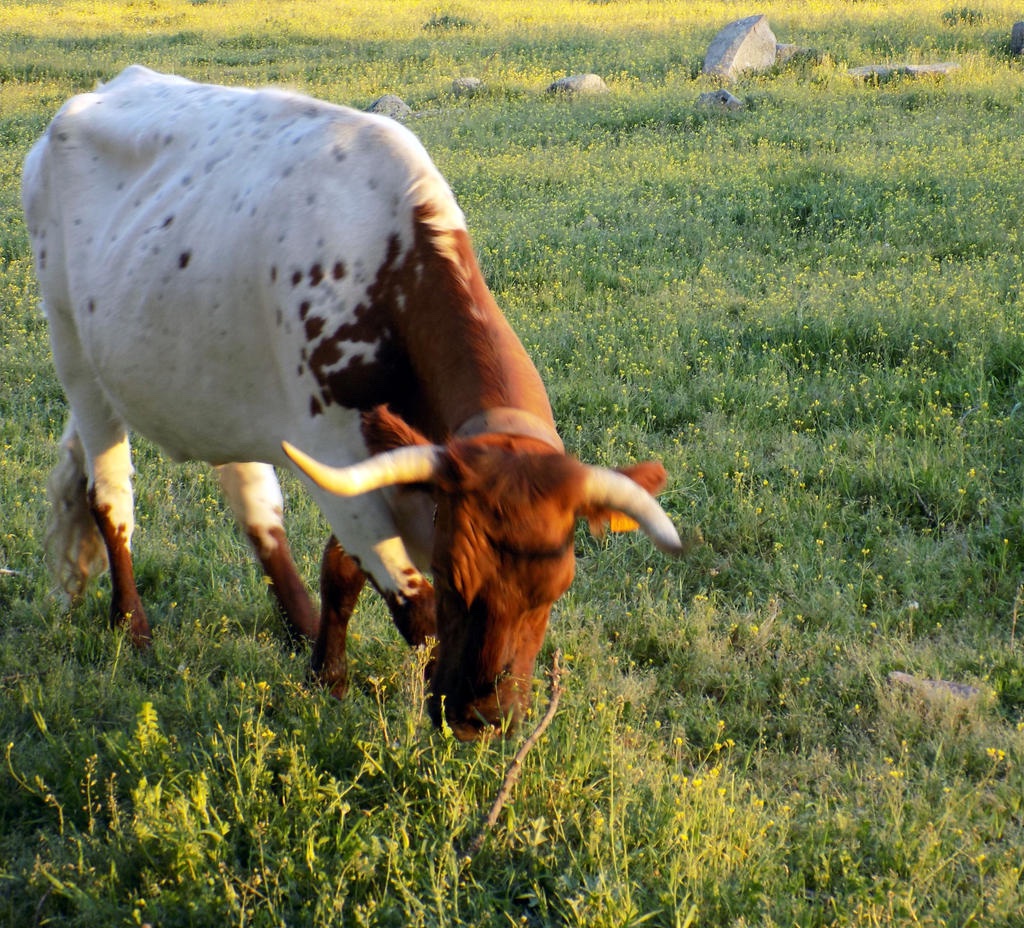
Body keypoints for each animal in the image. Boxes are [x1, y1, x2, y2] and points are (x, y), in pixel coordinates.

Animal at [23, 66, 693, 739]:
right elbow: (411, 606)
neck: (389, 269)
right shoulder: (338, 459)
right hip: (75, 357)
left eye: (557, 588)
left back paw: (298, 626)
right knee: (110, 495)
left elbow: (341, 569)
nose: (484, 715)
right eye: (455, 575)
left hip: (214, 383)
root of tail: (97, 93)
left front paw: (324, 668)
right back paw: (131, 627)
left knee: (249, 495)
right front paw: (365, 689)